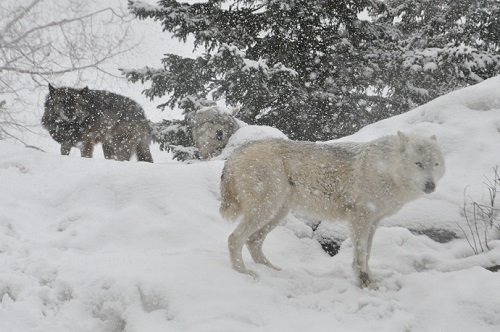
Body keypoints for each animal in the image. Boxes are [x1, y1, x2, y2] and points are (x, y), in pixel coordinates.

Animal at [220, 132, 446, 288]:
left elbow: (368, 254)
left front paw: (369, 279)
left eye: (435, 164)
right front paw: (364, 282)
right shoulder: (361, 219)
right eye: (418, 164)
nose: (430, 186)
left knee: (253, 241)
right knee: (234, 239)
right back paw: (243, 273)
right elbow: (360, 254)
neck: (385, 170)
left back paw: (272, 271)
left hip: (277, 213)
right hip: (266, 210)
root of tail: (236, 152)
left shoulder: (374, 222)